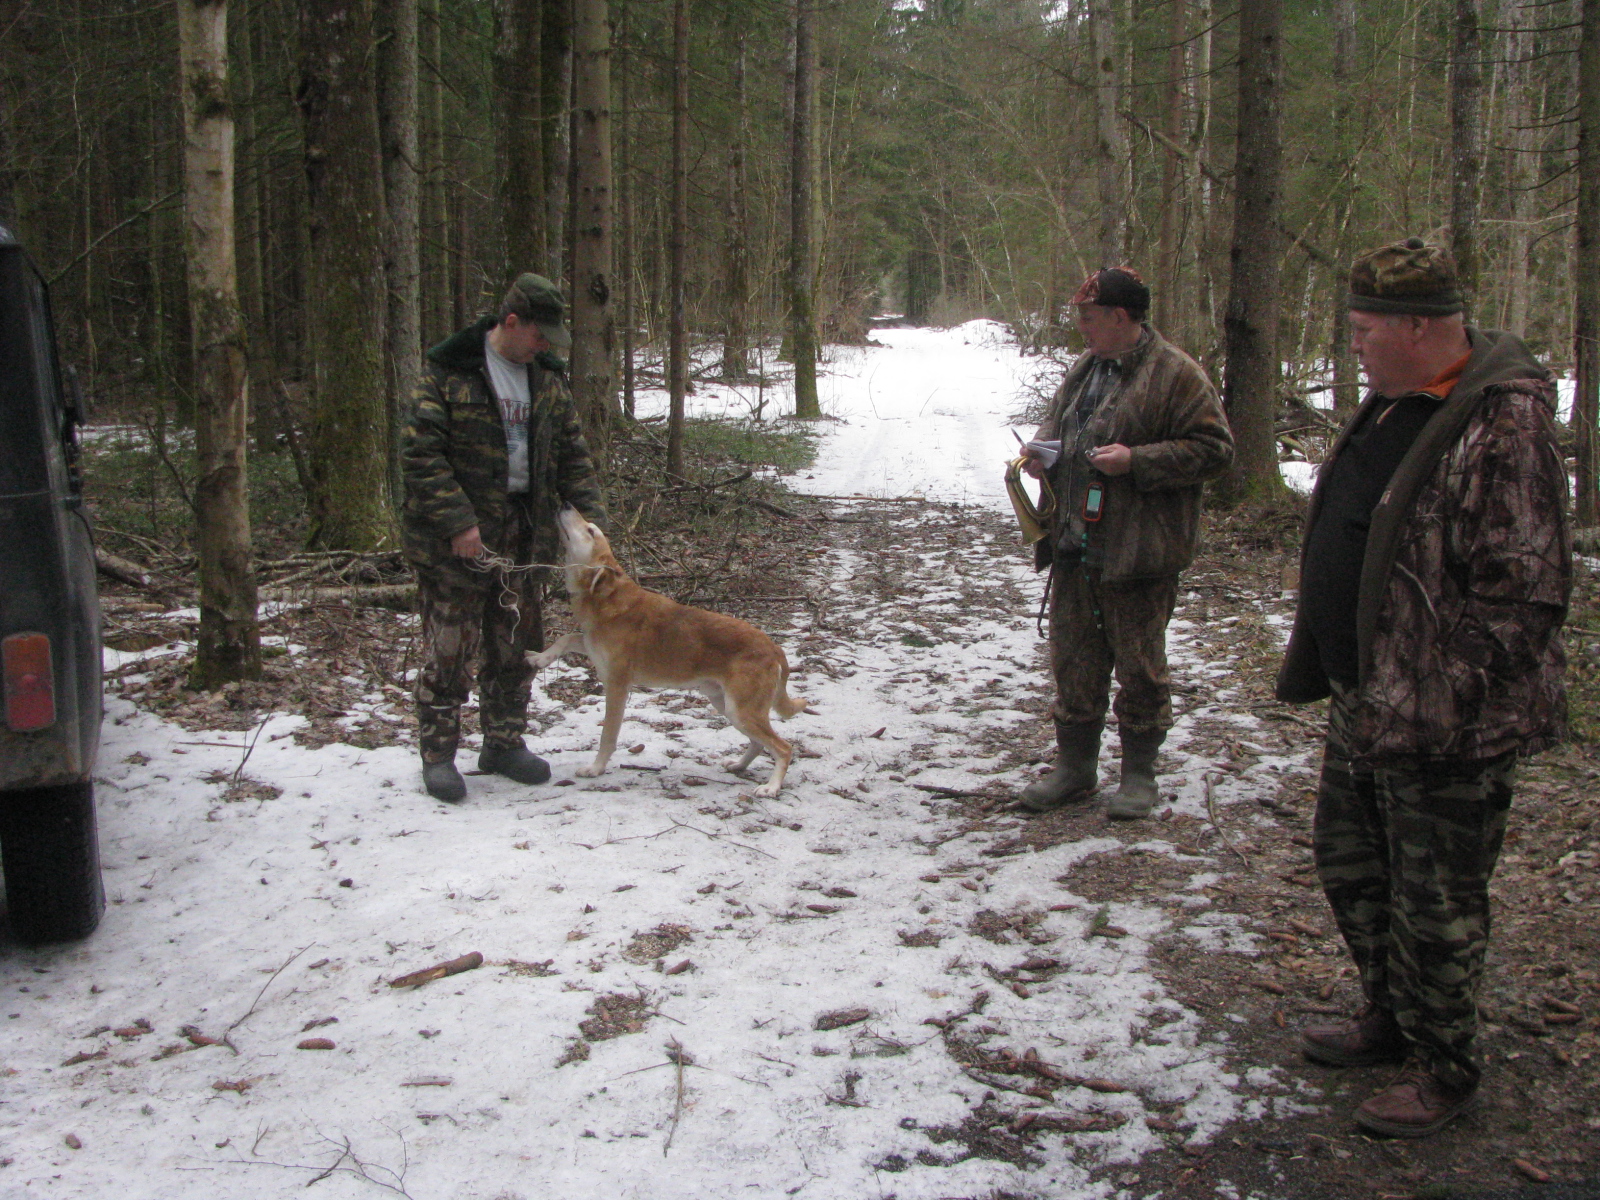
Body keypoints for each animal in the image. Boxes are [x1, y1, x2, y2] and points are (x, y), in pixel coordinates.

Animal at [529, 507, 808, 797]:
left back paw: (772, 786)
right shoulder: (590, 645)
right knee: (758, 743)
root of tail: (774, 647)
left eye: (590, 530)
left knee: (783, 748)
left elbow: (608, 736)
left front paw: (596, 768)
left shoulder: (616, 686)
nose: (566, 505)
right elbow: (566, 638)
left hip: (741, 710)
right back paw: (739, 765)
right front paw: (540, 658)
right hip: (727, 706)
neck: (606, 598)